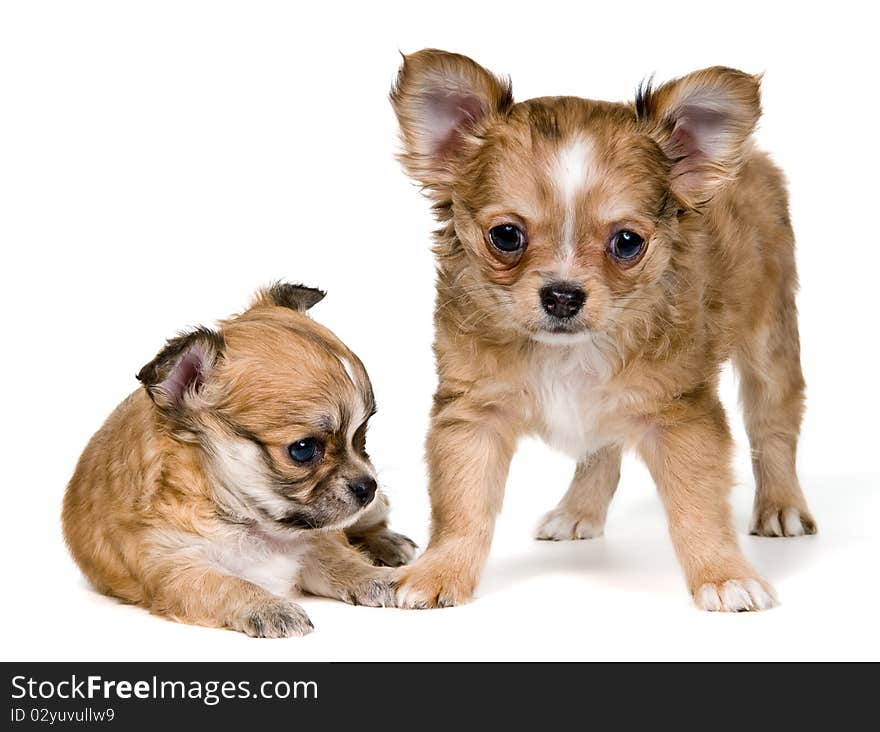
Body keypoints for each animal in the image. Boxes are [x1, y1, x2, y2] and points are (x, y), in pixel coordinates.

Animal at [63, 284, 414, 636]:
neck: (245, 520)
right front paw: (270, 607)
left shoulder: (315, 541)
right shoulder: (176, 566)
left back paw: (388, 544)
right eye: (303, 449)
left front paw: (375, 578)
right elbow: (228, 585)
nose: (367, 485)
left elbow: (341, 560)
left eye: (362, 437)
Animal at [388, 50, 816, 612]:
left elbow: (698, 509)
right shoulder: (473, 415)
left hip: (770, 338)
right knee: (602, 450)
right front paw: (439, 571)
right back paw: (579, 509)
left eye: (627, 243)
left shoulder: (681, 416)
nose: (563, 295)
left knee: (774, 425)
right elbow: (462, 505)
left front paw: (724, 576)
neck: (570, 354)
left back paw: (782, 505)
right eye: (506, 236)